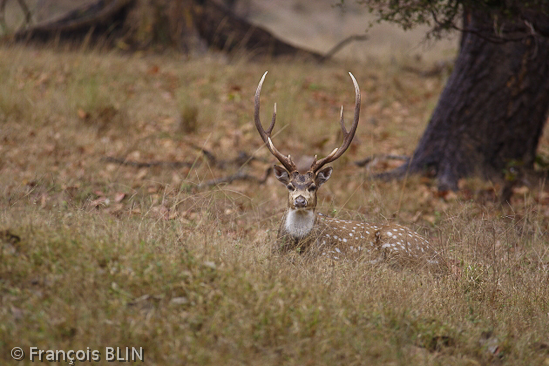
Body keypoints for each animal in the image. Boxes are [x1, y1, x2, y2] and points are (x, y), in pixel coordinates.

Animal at [255, 71, 438, 264]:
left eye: (313, 186)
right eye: (290, 186)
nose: (300, 200)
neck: (298, 243)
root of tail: (440, 258)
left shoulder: (328, 255)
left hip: (397, 244)